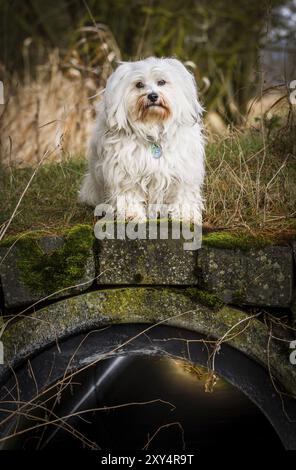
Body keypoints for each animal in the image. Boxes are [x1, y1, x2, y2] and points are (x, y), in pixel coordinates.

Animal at [78, 56, 204, 222]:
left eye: (162, 82)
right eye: (139, 84)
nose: (152, 96)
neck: (153, 128)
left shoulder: (183, 173)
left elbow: (183, 195)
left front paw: (186, 215)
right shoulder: (125, 173)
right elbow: (128, 196)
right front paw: (131, 216)